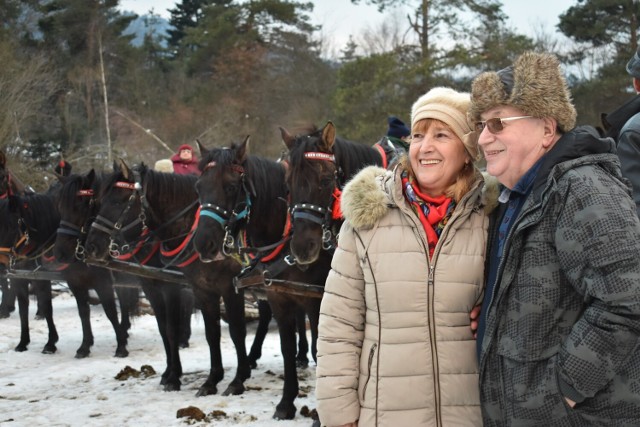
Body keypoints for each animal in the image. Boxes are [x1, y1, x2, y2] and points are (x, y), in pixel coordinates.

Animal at [54, 169, 194, 390]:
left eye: (83, 204)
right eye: (60, 206)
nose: (60, 253)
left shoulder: (108, 283)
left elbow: (111, 312)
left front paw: (121, 346)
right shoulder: (76, 282)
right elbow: (84, 313)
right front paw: (85, 346)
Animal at [84, 161, 252, 398]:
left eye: (117, 201)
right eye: (98, 202)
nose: (91, 246)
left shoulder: (217, 287)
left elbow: (234, 331)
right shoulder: (158, 287)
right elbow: (168, 330)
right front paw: (170, 374)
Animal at [192, 138, 328, 422]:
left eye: (231, 187)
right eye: (198, 187)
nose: (203, 243)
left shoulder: (316, 300)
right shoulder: (278, 296)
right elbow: (285, 346)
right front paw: (286, 403)